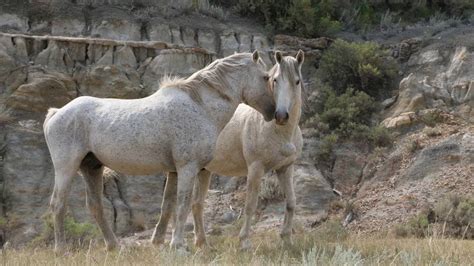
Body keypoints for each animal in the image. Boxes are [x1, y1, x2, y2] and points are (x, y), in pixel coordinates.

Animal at [43, 51, 278, 251]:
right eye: (265, 77)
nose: (274, 112)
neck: (200, 107)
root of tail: (56, 113)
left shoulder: (174, 171)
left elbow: (168, 205)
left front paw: (159, 241)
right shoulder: (187, 168)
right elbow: (183, 204)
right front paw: (178, 246)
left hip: (92, 167)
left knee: (95, 206)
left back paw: (113, 246)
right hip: (66, 168)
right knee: (58, 205)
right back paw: (61, 250)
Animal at [154, 50, 306, 249]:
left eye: (297, 81)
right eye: (275, 80)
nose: (281, 115)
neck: (279, 133)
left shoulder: (285, 169)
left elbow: (291, 203)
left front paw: (286, 239)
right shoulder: (256, 169)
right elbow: (250, 205)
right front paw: (245, 242)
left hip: (203, 171)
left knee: (196, 204)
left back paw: (202, 243)